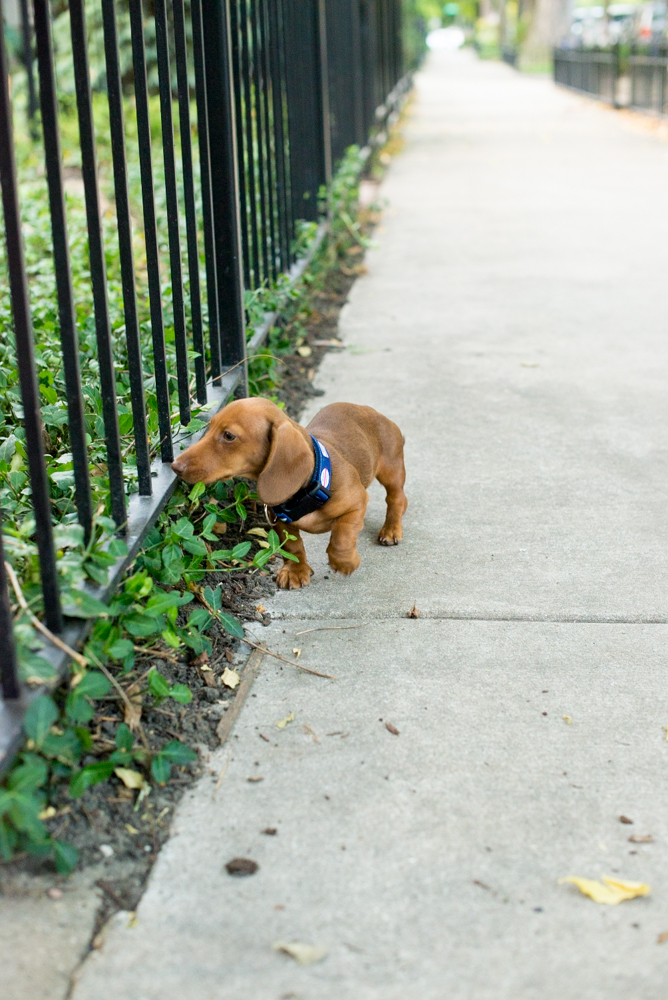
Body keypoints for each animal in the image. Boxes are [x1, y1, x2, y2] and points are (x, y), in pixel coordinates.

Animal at [170, 396, 404, 584]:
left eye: (228, 436)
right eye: (209, 427)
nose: (175, 466)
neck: (310, 486)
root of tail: (369, 410)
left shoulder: (357, 502)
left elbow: (342, 536)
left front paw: (345, 562)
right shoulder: (280, 522)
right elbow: (293, 547)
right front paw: (295, 571)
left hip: (392, 471)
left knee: (397, 499)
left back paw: (391, 530)